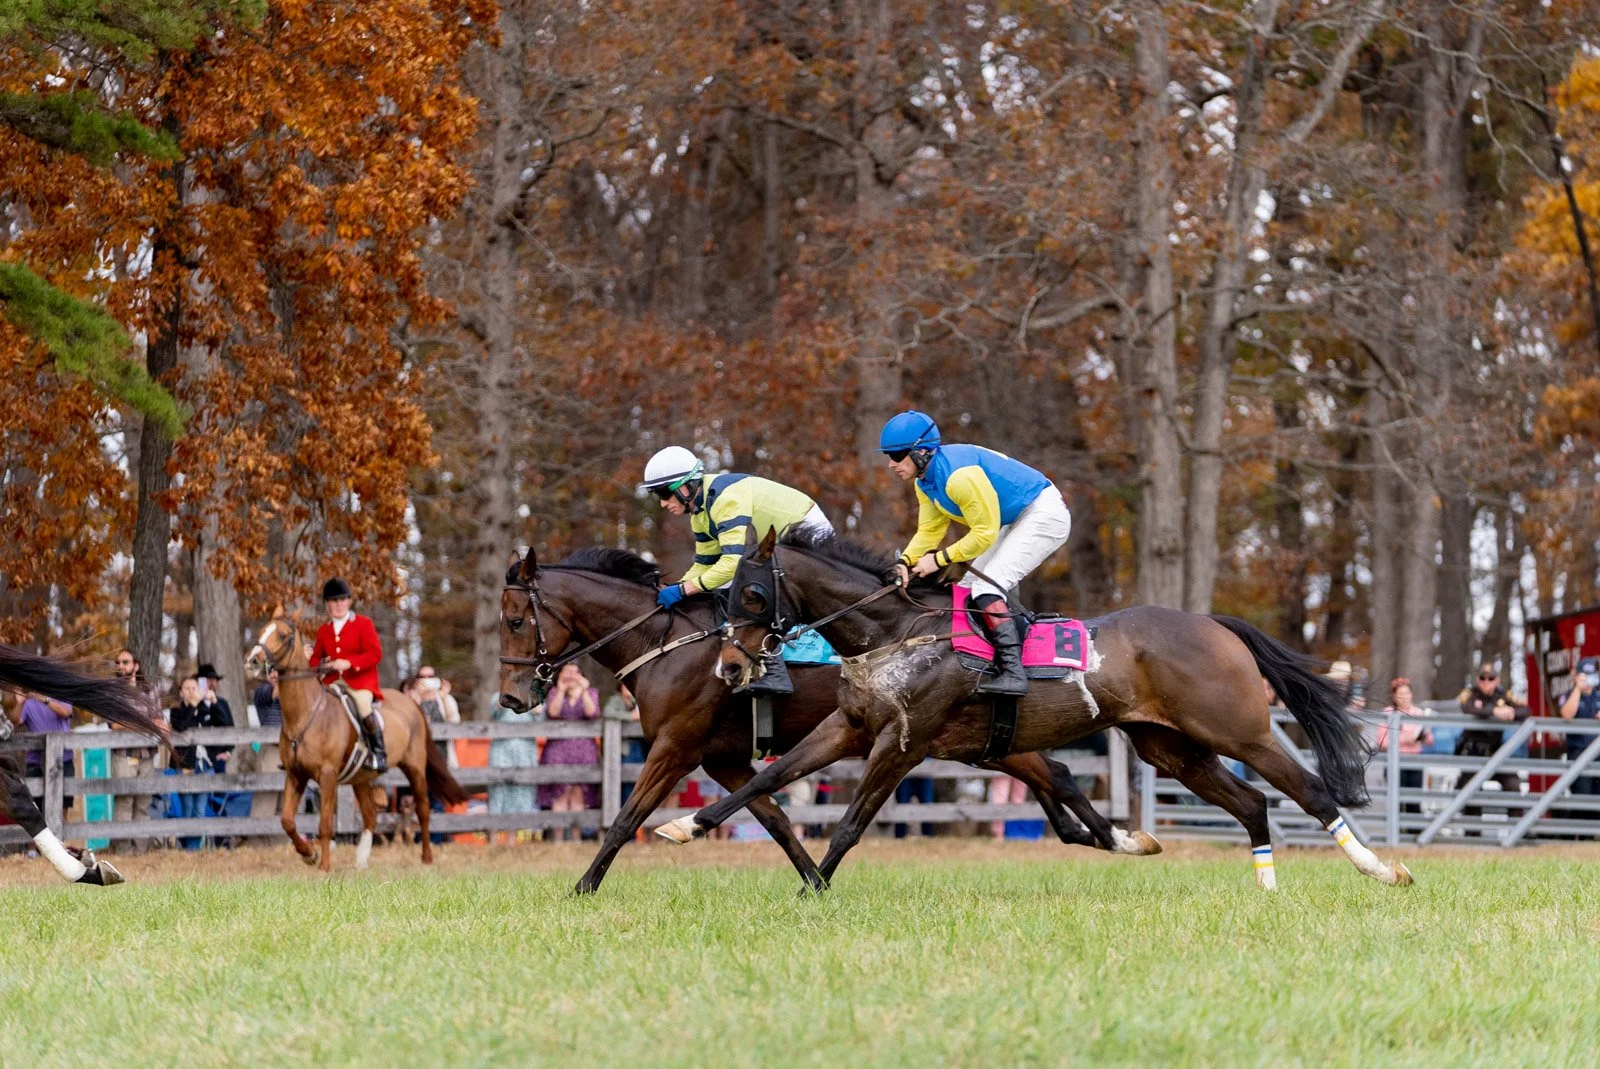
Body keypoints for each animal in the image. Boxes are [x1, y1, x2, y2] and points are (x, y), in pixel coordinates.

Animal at [245, 608, 467, 871]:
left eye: (282, 635)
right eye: (262, 631)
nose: (253, 662)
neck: (306, 713)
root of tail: (411, 702)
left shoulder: (327, 775)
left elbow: (325, 824)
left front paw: (324, 866)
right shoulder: (295, 774)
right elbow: (287, 820)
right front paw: (309, 854)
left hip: (414, 768)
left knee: (422, 810)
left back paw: (426, 858)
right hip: (361, 778)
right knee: (370, 816)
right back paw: (361, 860)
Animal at [498, 546, 1159, 895]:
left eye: (514, 620)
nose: (509, 698)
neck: (667, 643)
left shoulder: (676, 749)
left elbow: (624, 818)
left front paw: (581, 889)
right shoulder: (724, 760)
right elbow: (776, 820)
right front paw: (815, 881)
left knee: (1056, 777)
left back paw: (1115, 837)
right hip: (979, 741)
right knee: (1054, 774)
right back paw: (1112, 836)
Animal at [669, 528, 1411, 893]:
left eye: (753, 594)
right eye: (726, 594)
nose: (729, 667)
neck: (893, 631)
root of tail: (1213, 624)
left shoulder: (904, 744)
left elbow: (851, 823)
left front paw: (813, 890)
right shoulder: (851, 727)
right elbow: (769, 776)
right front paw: (684, 824)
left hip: (1241, 730)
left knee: (1311, 791)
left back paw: (1383, 870)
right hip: (1171, 747)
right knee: (1253, 803)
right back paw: (1266, 886)